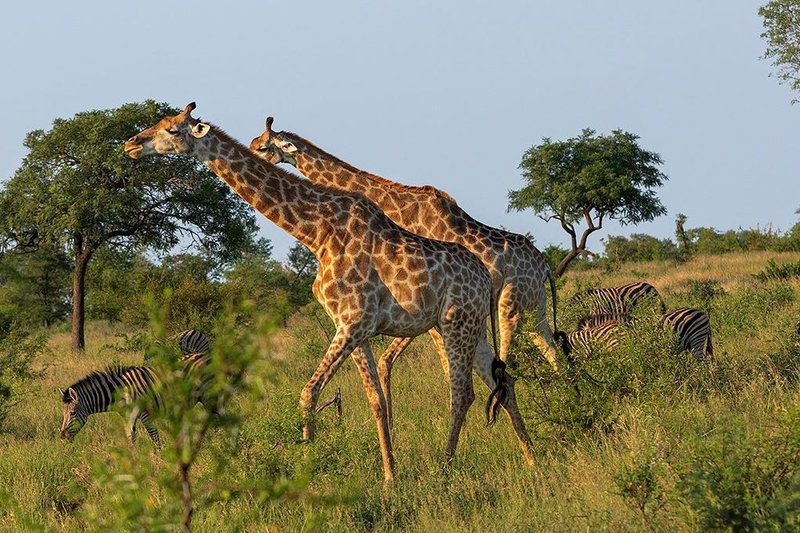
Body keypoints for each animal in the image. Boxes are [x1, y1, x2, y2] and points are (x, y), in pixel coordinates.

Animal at [59, 352, 211, 442]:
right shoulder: (128, 416)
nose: (62, 437)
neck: (122, 392)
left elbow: (154, 437)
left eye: (72, 413)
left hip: (208, 396)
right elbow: (130, 438)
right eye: (63, 414)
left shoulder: (146, 415)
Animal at [253, 119, 560, 420]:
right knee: (553, 352)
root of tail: (544, 265)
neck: (397, 209)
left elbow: (443, 371)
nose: (250, 149)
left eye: (262, 146)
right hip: (536, 310)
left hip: (509, 308)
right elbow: (388, 361)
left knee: (510, 365)